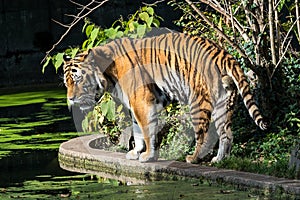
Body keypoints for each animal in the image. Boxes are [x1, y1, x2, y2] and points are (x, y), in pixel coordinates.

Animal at [62, 32, 268, 163]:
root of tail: (222, 53)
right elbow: (138, 131)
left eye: (78, 80)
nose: (70, 99)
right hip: (223, 106)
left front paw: (147, 156)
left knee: (205, 134)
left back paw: (193, 158)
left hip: (198, 103)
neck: (108, 72)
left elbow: (146, 131)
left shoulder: (141, 102)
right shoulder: (137, 104)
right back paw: (219, 159)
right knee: (227, 135)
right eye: (67, 83)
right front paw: (136, 153)